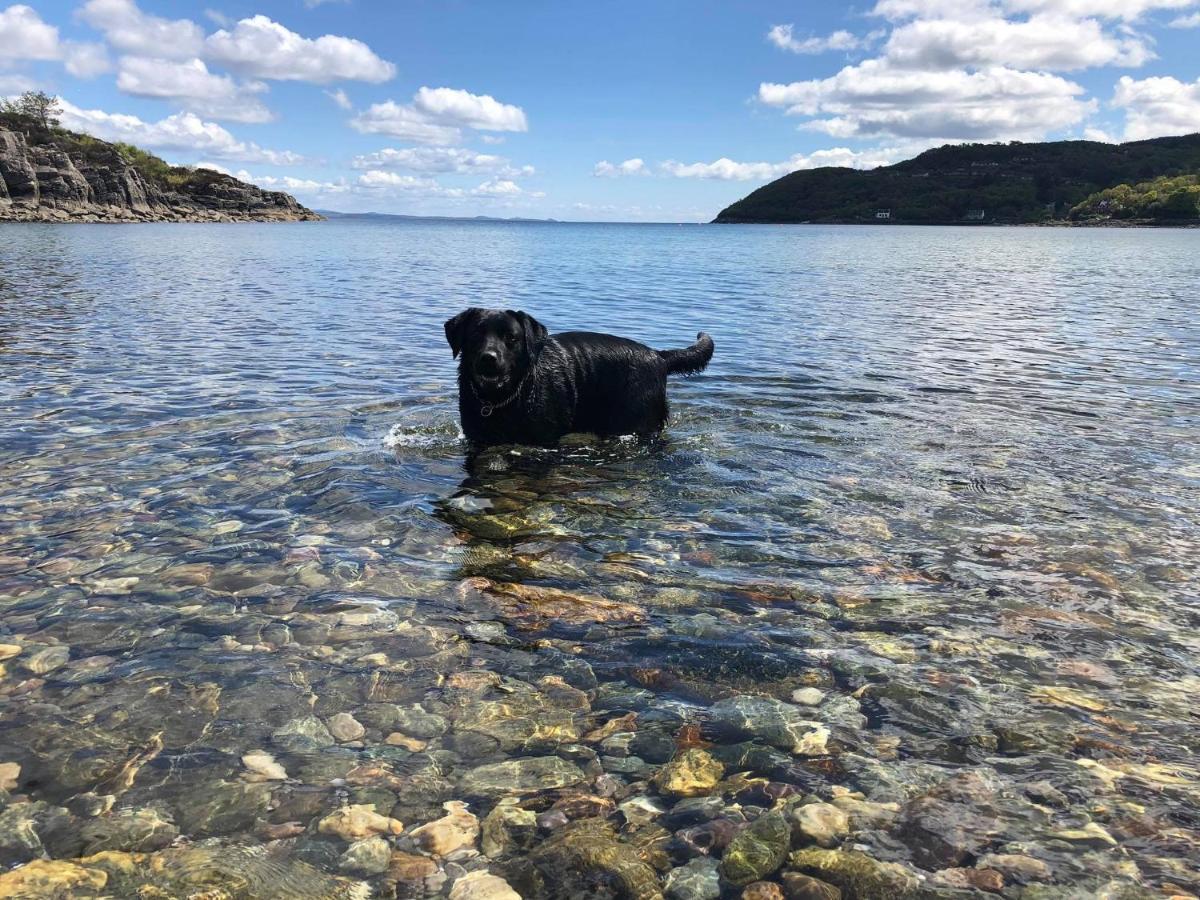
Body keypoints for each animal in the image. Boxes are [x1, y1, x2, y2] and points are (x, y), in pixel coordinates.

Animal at [448, 309, 710, 448]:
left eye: (511, 338)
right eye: (475, 335)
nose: (488, 358)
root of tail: (658, 355)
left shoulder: (544, 439)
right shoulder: (476, 438)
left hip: (636, 422)